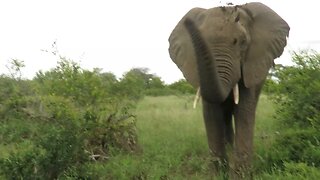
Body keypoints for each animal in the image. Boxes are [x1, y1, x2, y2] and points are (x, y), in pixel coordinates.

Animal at [169, 1, 288, 179]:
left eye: (241, 42)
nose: (189, 23)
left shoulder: (251, 64)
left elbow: (244, 112)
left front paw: (241, 175)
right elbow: (211, 114)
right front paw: (218, 175)